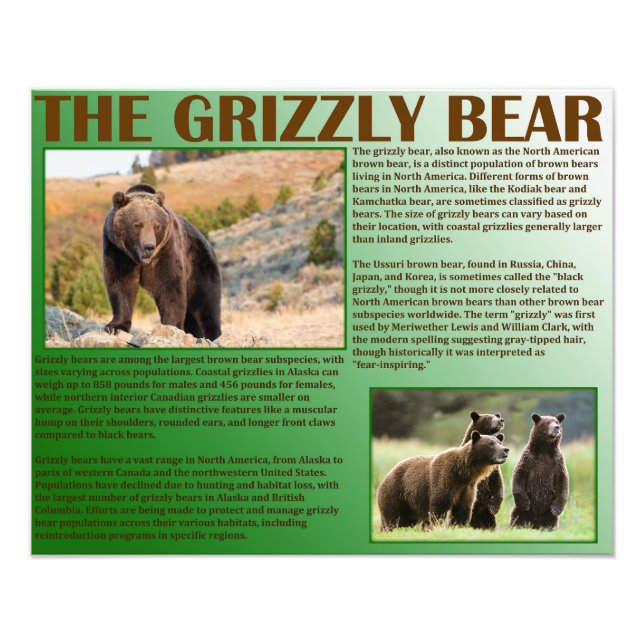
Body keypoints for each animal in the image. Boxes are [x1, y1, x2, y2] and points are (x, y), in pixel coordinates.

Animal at [102, 183, 222, 340]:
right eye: (138, 224)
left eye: (156, 225)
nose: (149, 247)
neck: (139, 260)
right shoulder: (117, 251)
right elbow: (121, 284)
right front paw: (114, 326)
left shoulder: (166, 250)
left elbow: (169, 287)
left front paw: (171, 327)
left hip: (200, 265)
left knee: (206, 302)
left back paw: (212, 335)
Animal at [376, 432, 509, 531]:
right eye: (491, 443)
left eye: (499, 442)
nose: (505, 450)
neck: (463, 473)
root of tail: (385, 477)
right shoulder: (445, 480)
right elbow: (439, 506)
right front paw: (437, 526)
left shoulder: (467, 488)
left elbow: (462, 510)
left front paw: (458, 526)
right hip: (396, 492)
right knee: (393, 517)